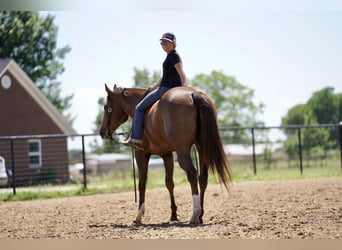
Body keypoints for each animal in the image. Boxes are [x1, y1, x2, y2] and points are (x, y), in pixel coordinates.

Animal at [99, 84, 232, 225]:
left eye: (107, 108)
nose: (102, 132)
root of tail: (194, 94)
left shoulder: (141, 155)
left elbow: (142, 183)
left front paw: (139, 215)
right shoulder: (167, 155)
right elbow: (169, 183)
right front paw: (173, 214)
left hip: (182, 151)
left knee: (192, 173)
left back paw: (194, 214)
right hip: (202, 148)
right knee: (203, 178)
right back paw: (200, 215)